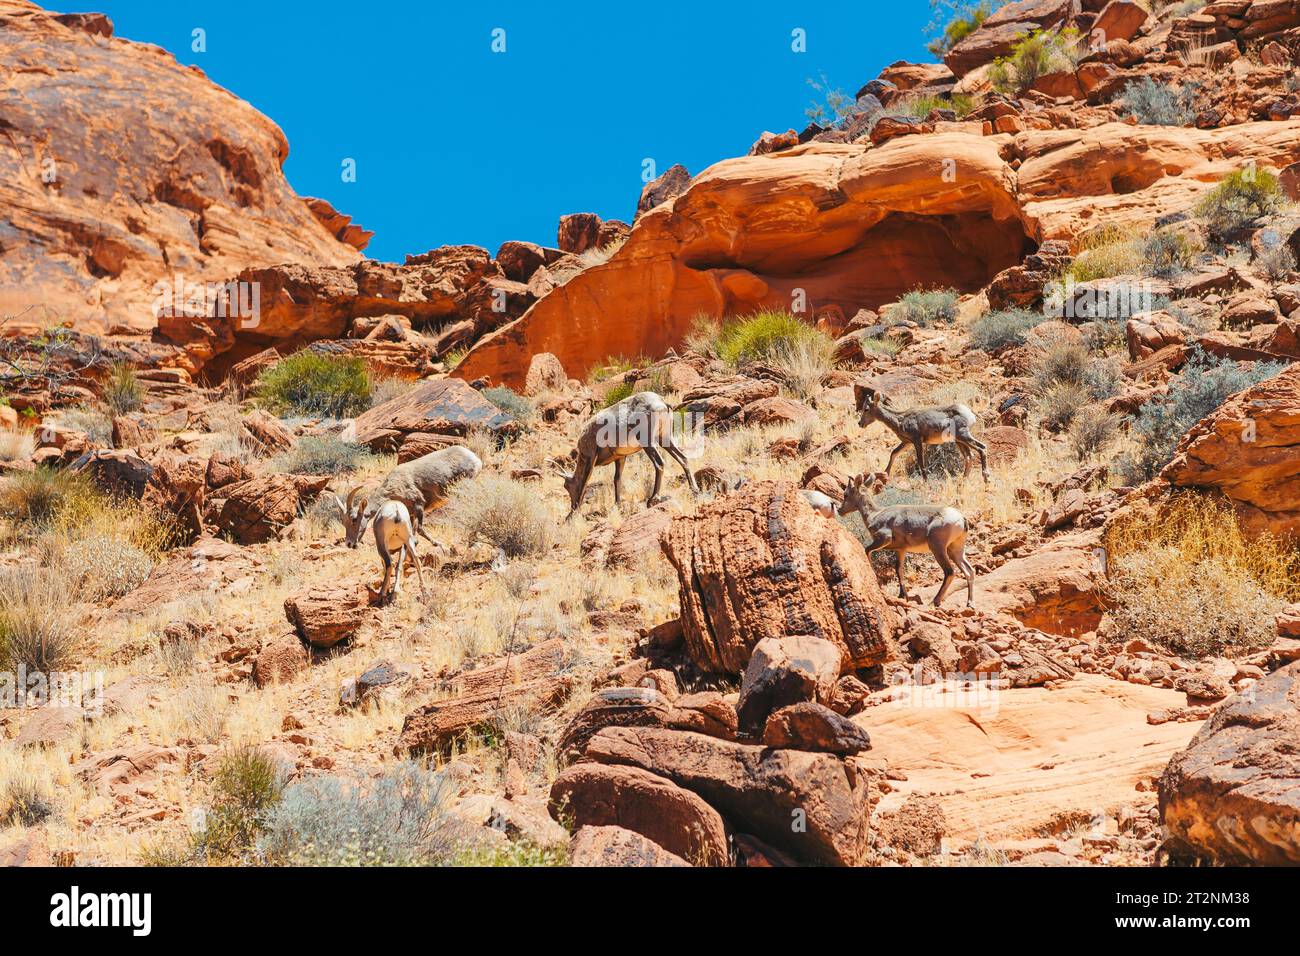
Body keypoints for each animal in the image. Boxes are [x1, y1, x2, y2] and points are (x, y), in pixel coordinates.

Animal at [332, 442, 486, 546]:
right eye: (344, 522)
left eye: (354, 519)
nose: (349, 544)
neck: (393, 489)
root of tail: (474, 458)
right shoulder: (411, 514)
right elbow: (412, 534)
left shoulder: (419, 506)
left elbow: (420, 530)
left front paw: (440, 545)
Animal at [561, 390, 702, 520]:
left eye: (566, 486)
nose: (572, 508)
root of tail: (661, 402)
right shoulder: (620, 458)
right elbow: (617, 479)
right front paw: (617, 505)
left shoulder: (590, 458)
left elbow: (584, 482)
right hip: (665, 439)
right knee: (683, 458)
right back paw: (694, 490)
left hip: (648, 442)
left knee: (659, 463)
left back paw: (653, 499)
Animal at [800, 476, 977, 608]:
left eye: (846, 494)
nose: (840, 510)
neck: (875, 514)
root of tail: (961, 519)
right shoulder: (900, 550)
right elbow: (899, 570)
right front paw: (902, 596)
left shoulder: (883, 540)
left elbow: (867, 551)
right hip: (956, 550)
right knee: (969, 571)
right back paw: (969, 603)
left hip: (938, 549)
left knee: (950, 572)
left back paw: (935, 601)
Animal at [847, 385, 987, 481]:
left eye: (866, 409)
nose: (860, 423)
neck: (900, 420)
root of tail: (970, 414)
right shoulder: (907, 442)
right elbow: (893, 453)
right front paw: (885, 475)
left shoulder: (917, 441)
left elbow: (921, 462)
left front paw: (925, 481)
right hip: (959, 441)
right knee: (969, 457)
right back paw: (963, 482)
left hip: (963, 435)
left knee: (982, 448)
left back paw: (986, 478)